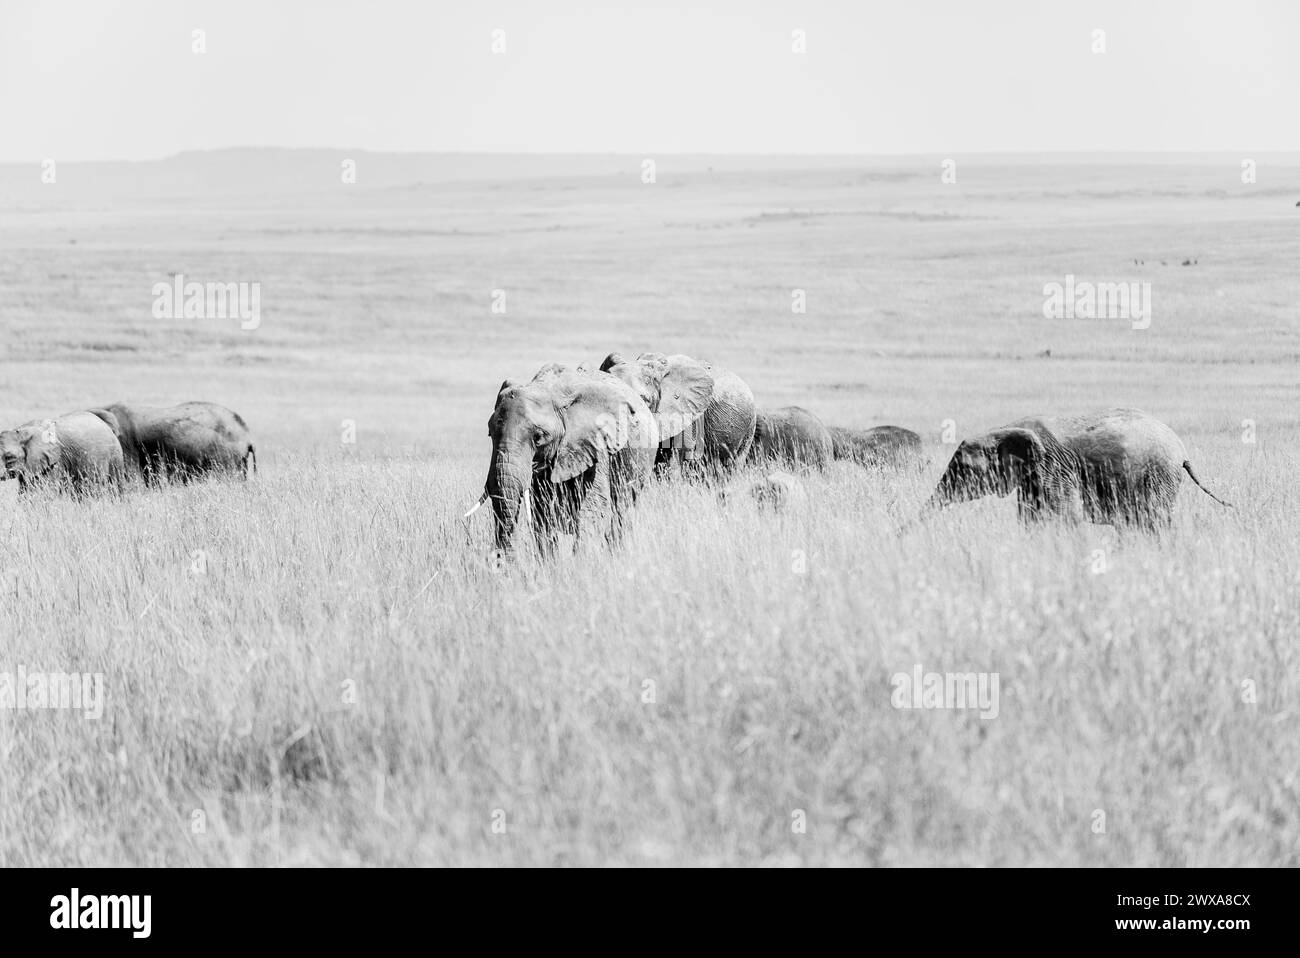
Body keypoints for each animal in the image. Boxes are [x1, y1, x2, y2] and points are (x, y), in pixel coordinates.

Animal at [475, 366, 660, 561]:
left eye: (538, 437)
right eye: (490, 433)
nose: (497, 558)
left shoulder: (596, 446)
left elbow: (593, 509)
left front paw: (580, 563)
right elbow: (542, 515)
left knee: (620, 514)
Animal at [920, 408, 1232, 527]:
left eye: (964, 469)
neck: (1004, 428)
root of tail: (1182, 452)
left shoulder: (1054, 468)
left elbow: (1065, 516)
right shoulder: (1036, 475)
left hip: (1158, 476)